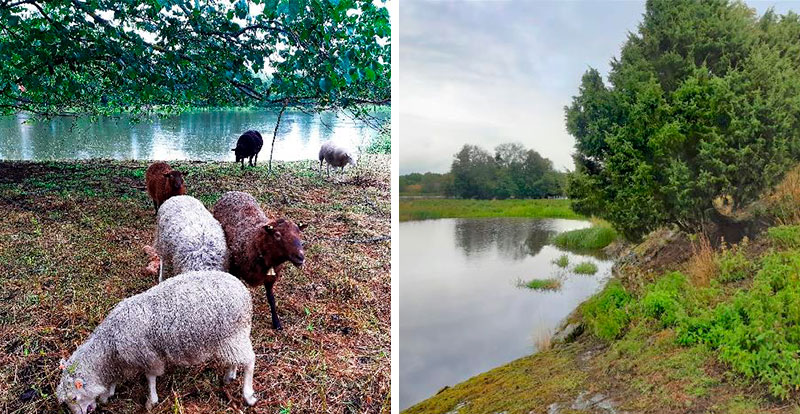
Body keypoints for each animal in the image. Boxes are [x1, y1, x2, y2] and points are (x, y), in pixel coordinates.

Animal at [56, 270, 256, 412]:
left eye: (74, 398)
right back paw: (230, 375)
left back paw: (248, 394)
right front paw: (108, 393)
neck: (110, 344)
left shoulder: (148, 356)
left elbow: (150, 378)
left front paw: (151, 401)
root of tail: (243, 290)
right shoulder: (123, 362)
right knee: (238, 360)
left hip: (232, 336)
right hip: (233, 338)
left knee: (250, 361)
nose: (82, 413)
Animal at [212, 191, 306, 330]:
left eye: (299, 234)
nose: (301, 257)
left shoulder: (271, 279)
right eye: (277, 235)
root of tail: (233, 192)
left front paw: (277, 323)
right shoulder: (235, 271)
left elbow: (271, 299)